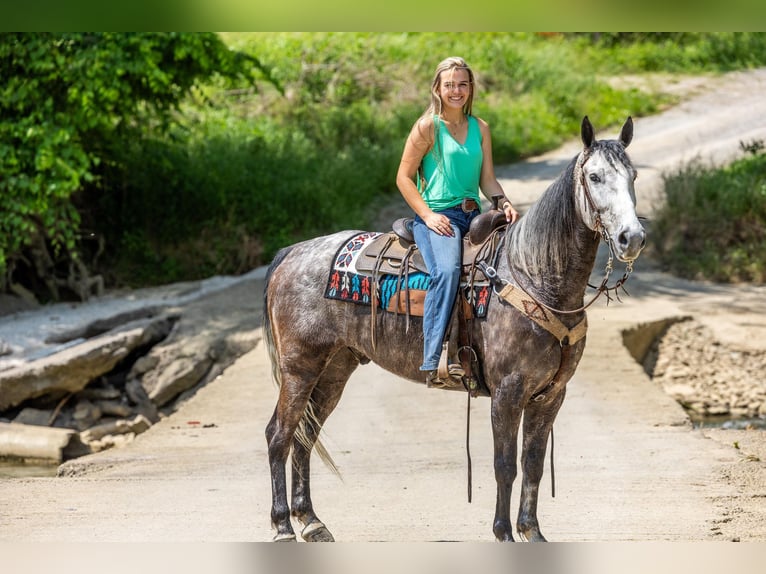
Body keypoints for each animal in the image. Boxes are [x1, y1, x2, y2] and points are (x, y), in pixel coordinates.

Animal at [263, 116, 645, 542]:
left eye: (633, 176)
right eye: (594, 176)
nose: (632, 238)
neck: (533, 277)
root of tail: (291, 254)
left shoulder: (550, 395)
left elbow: (532, 463)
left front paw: (531, 531)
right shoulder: (508, 393)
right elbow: (505, 465)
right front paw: (503, 532)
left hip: (334, 369)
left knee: (305, 434)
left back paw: (311, 521)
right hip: (300, 368)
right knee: (279, 434)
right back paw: (283, 525)